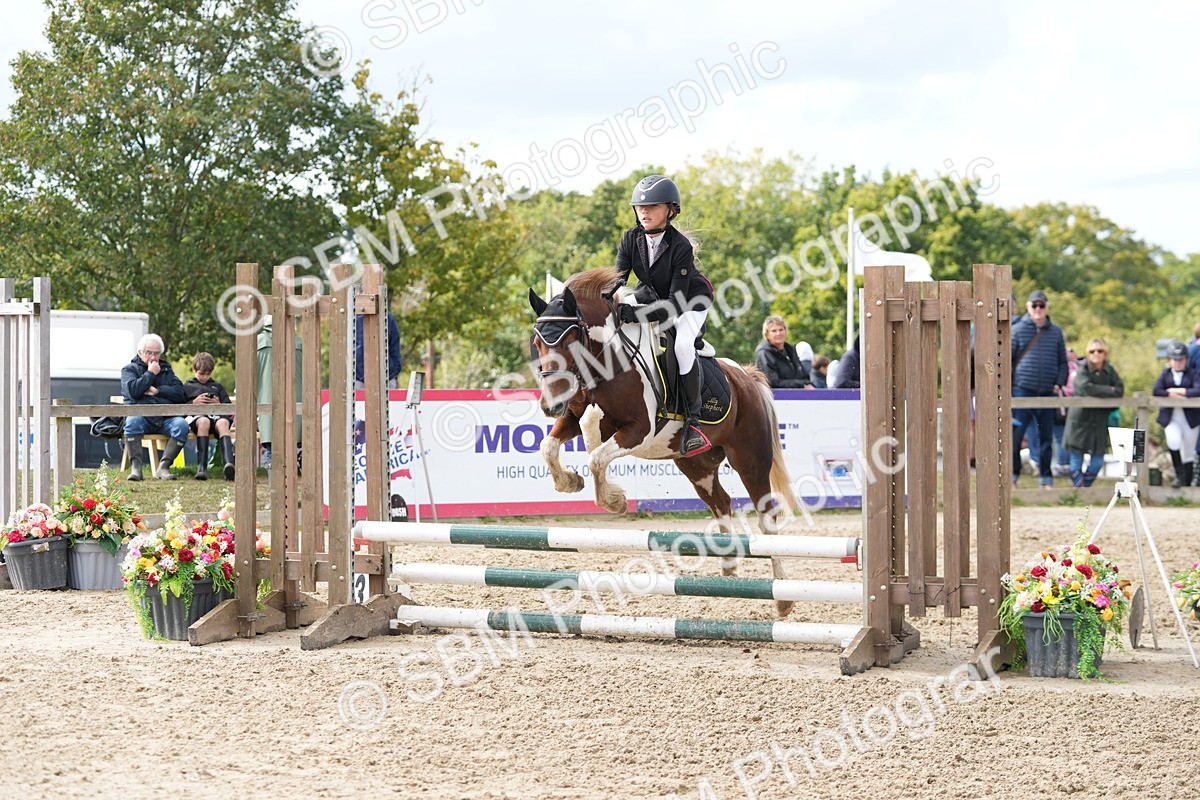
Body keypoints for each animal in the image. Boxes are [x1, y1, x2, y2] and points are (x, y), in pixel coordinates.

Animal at [528, 267, 801, 616]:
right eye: (538, 342)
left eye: (570, 340)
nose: (550, 405)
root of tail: (747, 377)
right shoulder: (572, 418)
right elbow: (550, 447)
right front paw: (570, 482)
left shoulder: (639, 429)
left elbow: (596, 455)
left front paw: (615, 500)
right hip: (696, 465)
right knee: (721, 501)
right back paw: (728, 568)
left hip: (750, 459)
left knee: (767, 517)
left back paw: (783, 597)